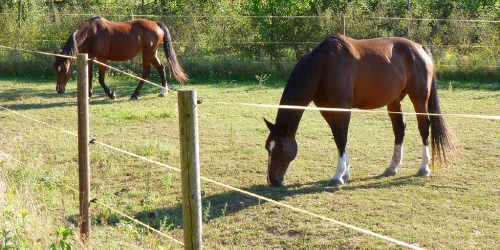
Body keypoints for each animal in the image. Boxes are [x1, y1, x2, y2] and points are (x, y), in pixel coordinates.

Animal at [53, 15, 188, 99]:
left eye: (65, 70)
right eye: (55, 70)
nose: (59, 89)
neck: (91, 33)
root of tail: (156, 23)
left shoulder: (102, 59)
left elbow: (101, 79)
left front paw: (111, 94)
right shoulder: (89, 58)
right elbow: (89, 76)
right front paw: (89, 94)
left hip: (147, 53)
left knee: (146, 72)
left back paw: (135, 95)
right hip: (152, 53)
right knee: (161, 68)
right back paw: (163, 91)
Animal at [264, 34, 456, 188]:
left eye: (281, 149)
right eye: (267, 147)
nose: (273, 181)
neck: (324, 67)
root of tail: (419, 48)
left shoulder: (343, 108)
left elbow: (341, 138)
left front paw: (338, 175)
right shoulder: (327, 110)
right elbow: (337, 137)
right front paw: (345, 173)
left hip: (419, 99)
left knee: (424, 127)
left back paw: (423, 167)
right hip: (395, 101)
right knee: (399, 129)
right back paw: (391, 167)